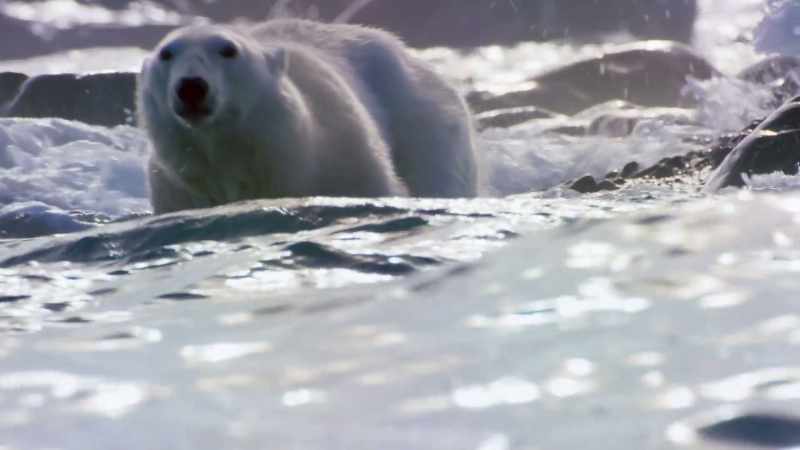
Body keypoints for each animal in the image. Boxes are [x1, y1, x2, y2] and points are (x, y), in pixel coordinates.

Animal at [137, 19, 479, 214]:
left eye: (229, 49)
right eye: (166, 53)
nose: (191, 87)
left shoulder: (347, 158)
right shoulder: (177, 191)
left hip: (422, 121)